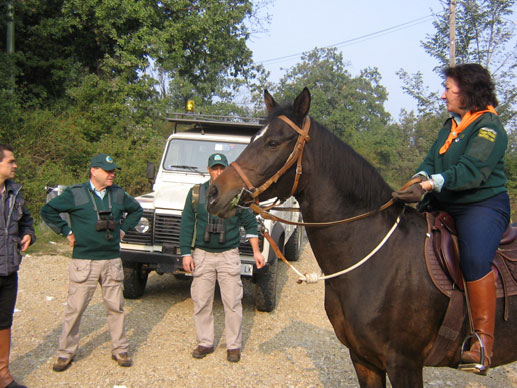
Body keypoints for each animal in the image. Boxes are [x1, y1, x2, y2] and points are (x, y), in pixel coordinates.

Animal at [206, 88, 516, 388]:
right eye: (253, 139)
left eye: (273, 142)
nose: (214, 193)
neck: (381, 260)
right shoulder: (363, 359)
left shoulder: (405, 364)